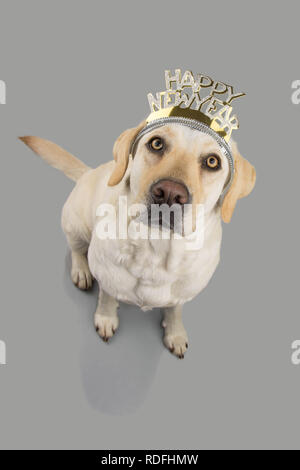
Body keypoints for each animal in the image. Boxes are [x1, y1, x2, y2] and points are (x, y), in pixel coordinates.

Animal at [19, 119, 255, 358]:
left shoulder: (183, 293)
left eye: (212, 161)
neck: (157, 247)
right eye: (157, 143)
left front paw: (176, 334)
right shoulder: (107, 276)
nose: (170, 193)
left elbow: (174, 309)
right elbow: (106, 298)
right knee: (76, 249)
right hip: (76, 224)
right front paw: (106, 318)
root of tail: (89, 173)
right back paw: (81, 271)